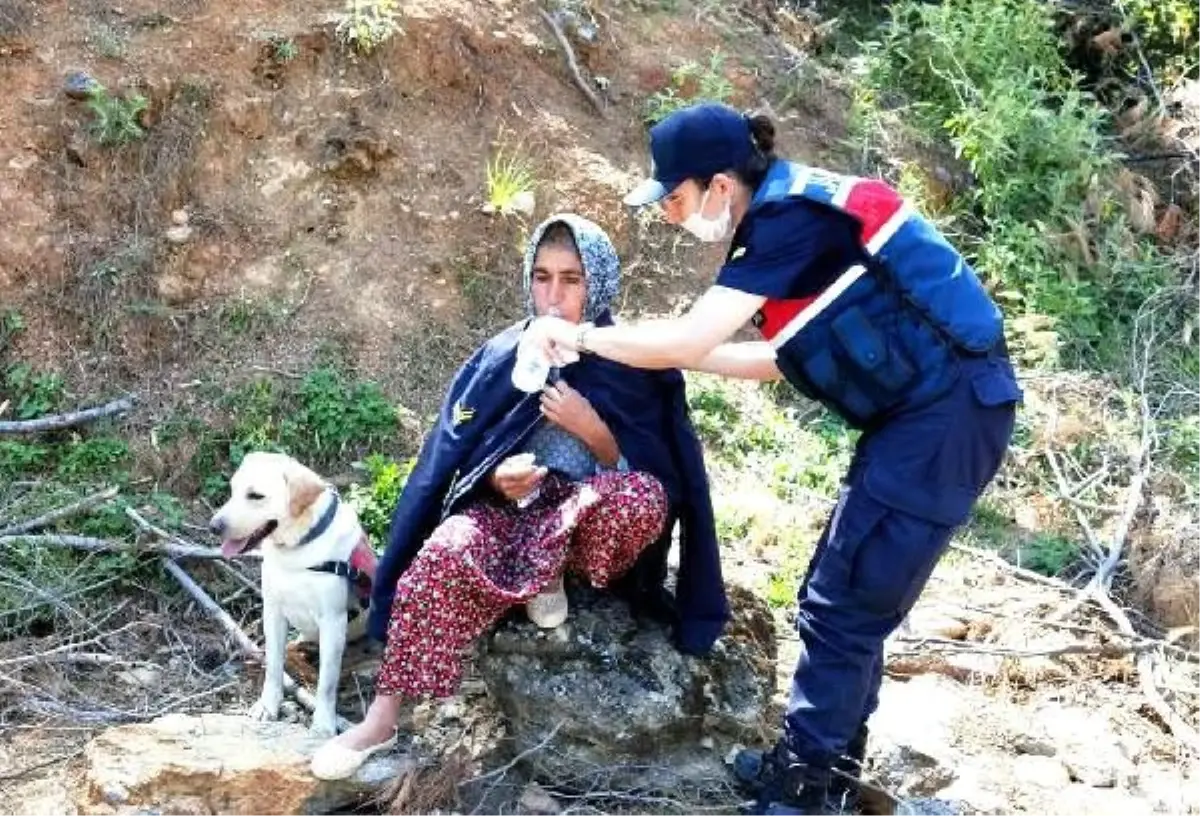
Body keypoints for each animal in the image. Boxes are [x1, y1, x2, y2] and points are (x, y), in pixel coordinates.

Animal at [206, 448, 374, 734]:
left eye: (256, 496)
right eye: (232, 489)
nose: (214, 526)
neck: (298, 549)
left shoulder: (333, 621)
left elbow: (327, 683)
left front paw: (324, 723)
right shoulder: (273, 611)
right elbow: (274, 666)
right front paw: (268, 705)